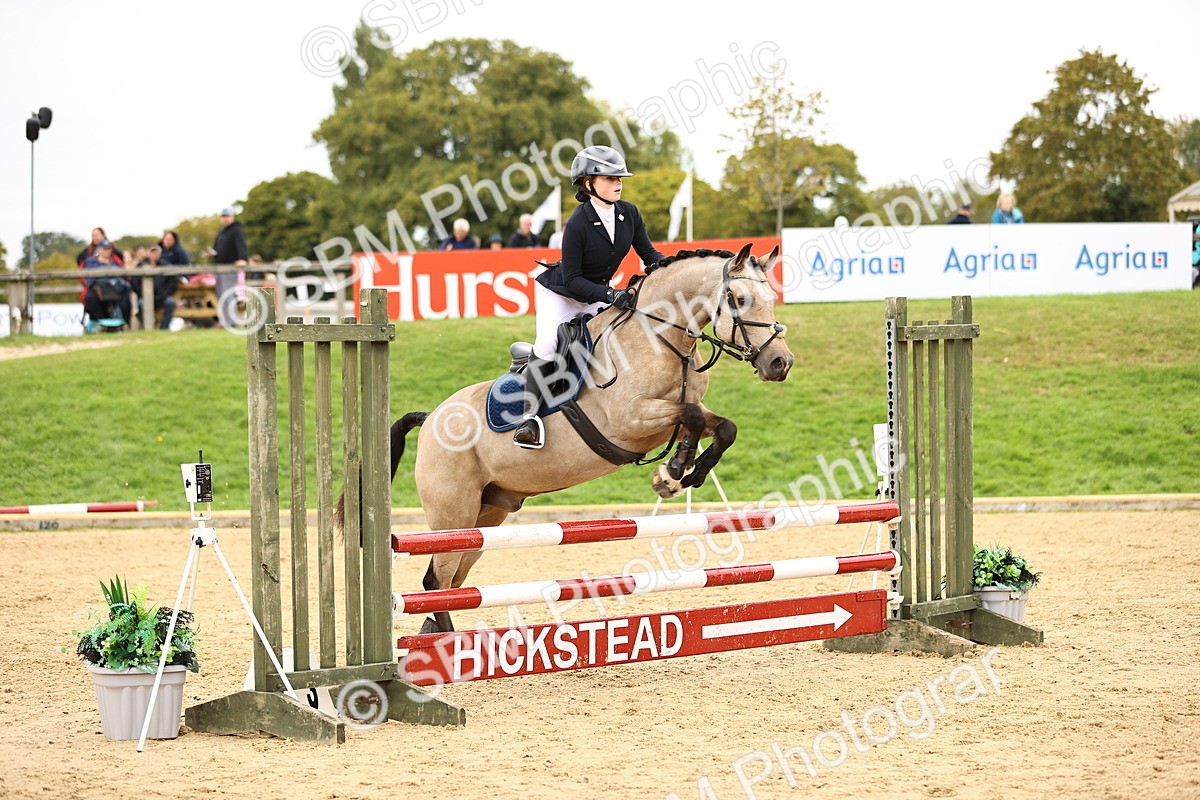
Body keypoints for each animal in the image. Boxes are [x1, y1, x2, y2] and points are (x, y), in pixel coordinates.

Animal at [338, 244, 794, 634]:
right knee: (437, 579)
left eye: (771, 298)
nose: (780, 363)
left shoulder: (668, 418)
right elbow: (694, 417)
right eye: (737, 299)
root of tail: (431, 418)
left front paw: (679, 475)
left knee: (453, 581)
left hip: (487, 515)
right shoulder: (630, 419)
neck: (660, 339)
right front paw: (674, 471)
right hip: (453, 515)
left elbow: (719, 425)